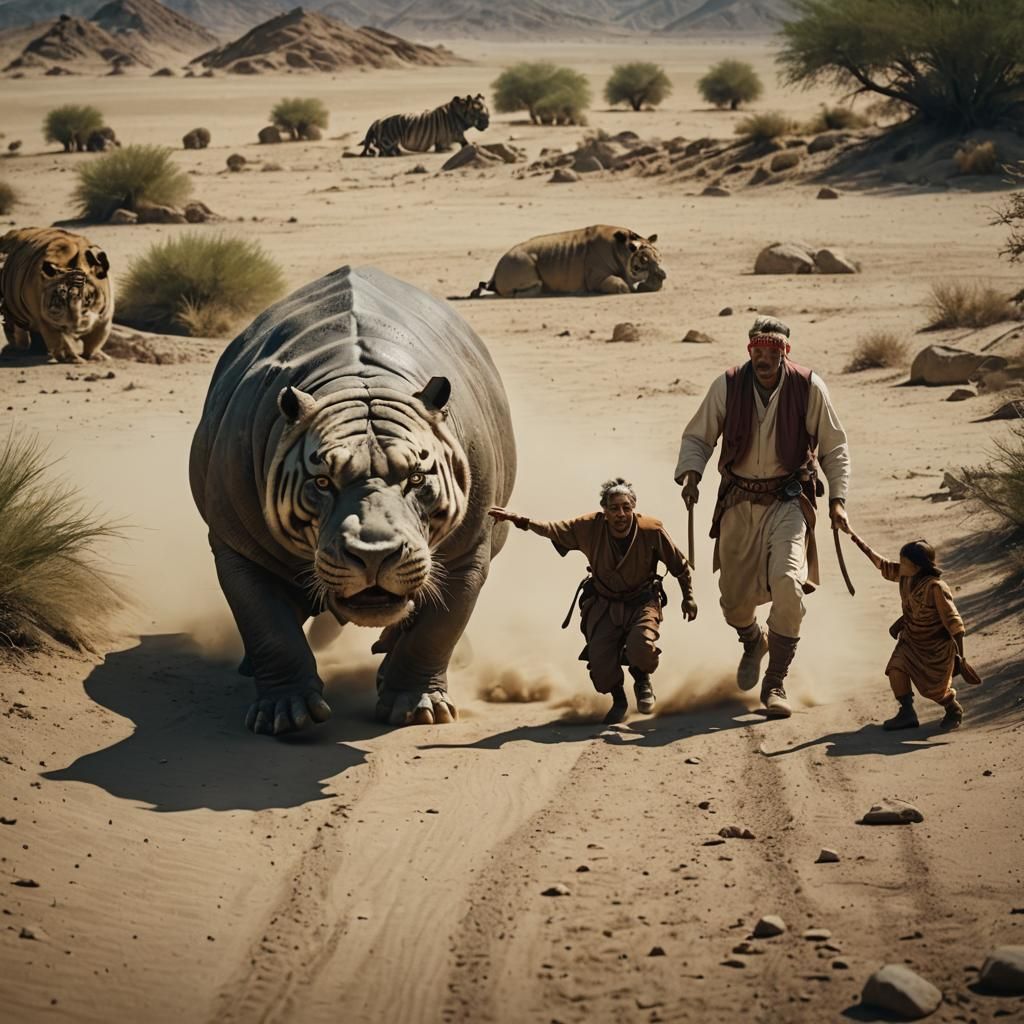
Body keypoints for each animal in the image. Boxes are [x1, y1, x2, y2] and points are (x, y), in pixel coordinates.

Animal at [0, 227, 113, 363]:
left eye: (88, 299)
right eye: (58, 300)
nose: (75, 323)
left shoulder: (104, 316)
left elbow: (97, 338)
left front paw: (98, 357)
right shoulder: (47, 317)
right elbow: (58, 339)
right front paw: (74, 360)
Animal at [359, 94, 490, 157]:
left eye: (487, 112)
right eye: (480, 113)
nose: (487, 124)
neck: (457, 117)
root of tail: (378, 121)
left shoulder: (454, 137)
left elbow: (465, 144)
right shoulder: (444, 141)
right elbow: (458, 146)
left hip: (389, 142)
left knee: (386, 152)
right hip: (389, 141)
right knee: (389, 152)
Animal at [470, 225, 666, 298]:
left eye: (659, 258)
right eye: (643, 260)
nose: (662, 275)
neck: (622, 250)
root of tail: (496, 270)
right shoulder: (597, 277)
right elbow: (621, 286)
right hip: (518, 262)